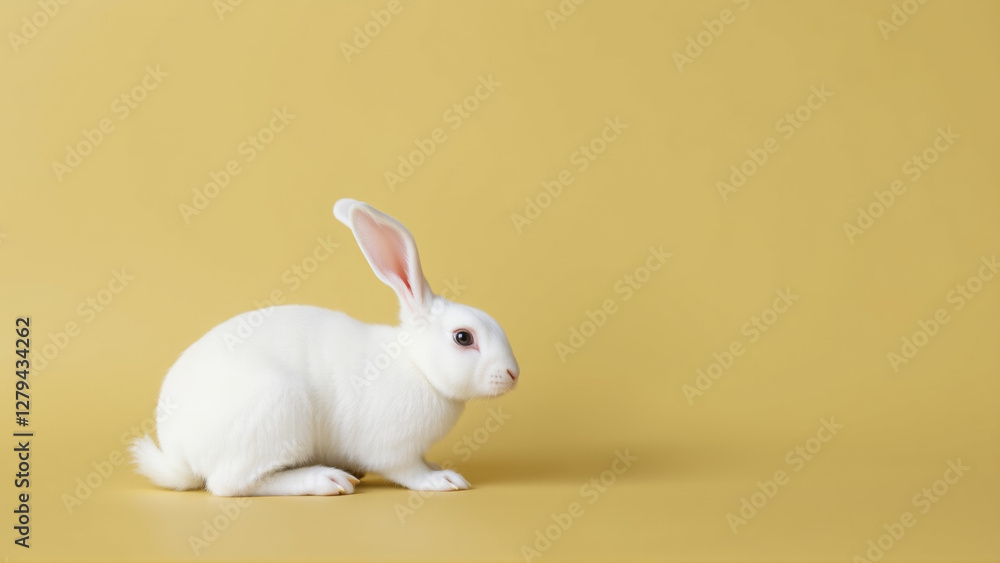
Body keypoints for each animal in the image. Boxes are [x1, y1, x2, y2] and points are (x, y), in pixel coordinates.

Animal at [130, 199, 519, 496]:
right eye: (463, 337)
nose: (513, 374)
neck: (418, 368)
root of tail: (178, 456)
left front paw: (437, 465)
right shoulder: (392, 449)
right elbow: (408, 471)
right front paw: (442, 480)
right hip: (278, 409)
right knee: (231, 484)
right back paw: (327, 480)